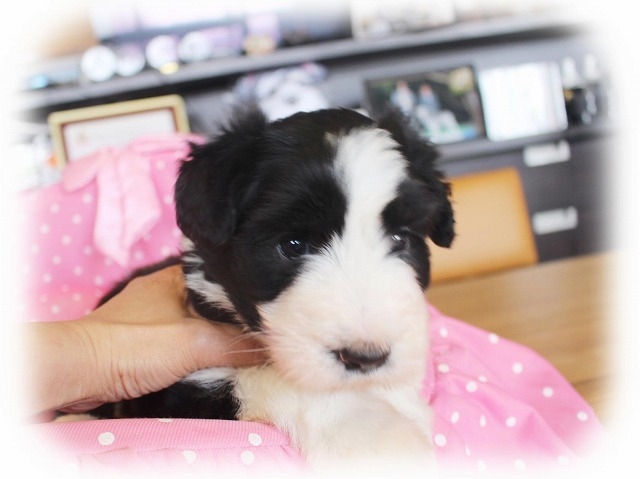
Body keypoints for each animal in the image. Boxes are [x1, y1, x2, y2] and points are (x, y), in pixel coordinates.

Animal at [90, 107, 455, 471]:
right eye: (293, 245)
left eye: (400, 239)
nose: (366, 358)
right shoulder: (172, 388)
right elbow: (270, 382)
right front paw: (375, 436)